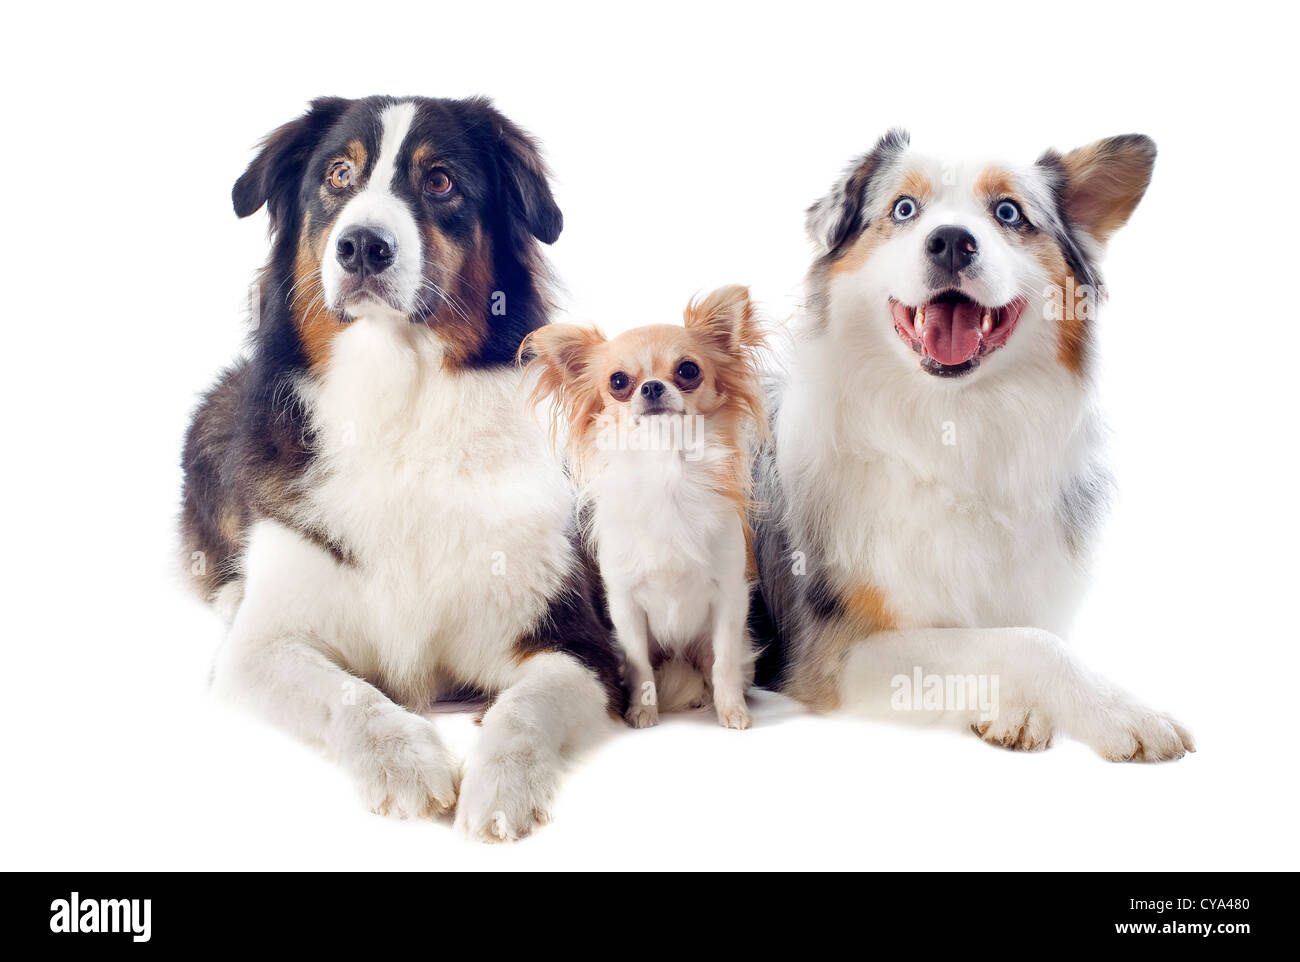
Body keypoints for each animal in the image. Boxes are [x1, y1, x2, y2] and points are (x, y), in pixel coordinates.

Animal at [183, 94, 624, 837]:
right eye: (338, 174)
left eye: (439, 181)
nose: (363, 245)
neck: (401, 400)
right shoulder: (256, 652)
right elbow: (346, 693)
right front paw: (406, 764)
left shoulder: (578, 641)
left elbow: (527, 708)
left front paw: (501, 786)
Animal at [522, 286, 764, 728]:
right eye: (618, 382)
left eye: (688, 370)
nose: (650, 387)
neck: (666, 470)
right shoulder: (625, 605)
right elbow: (640, 666)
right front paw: (643, 711)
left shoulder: (729, 598)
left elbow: (724, 663)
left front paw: (732, 711)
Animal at [748, 129, 1190, 759]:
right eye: (904, 209)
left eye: (1008, 212)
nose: (952, 242)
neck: (954, 424)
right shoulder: (842, 654)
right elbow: (1022, 642)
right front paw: (1124, 714)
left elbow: (1014, 632)